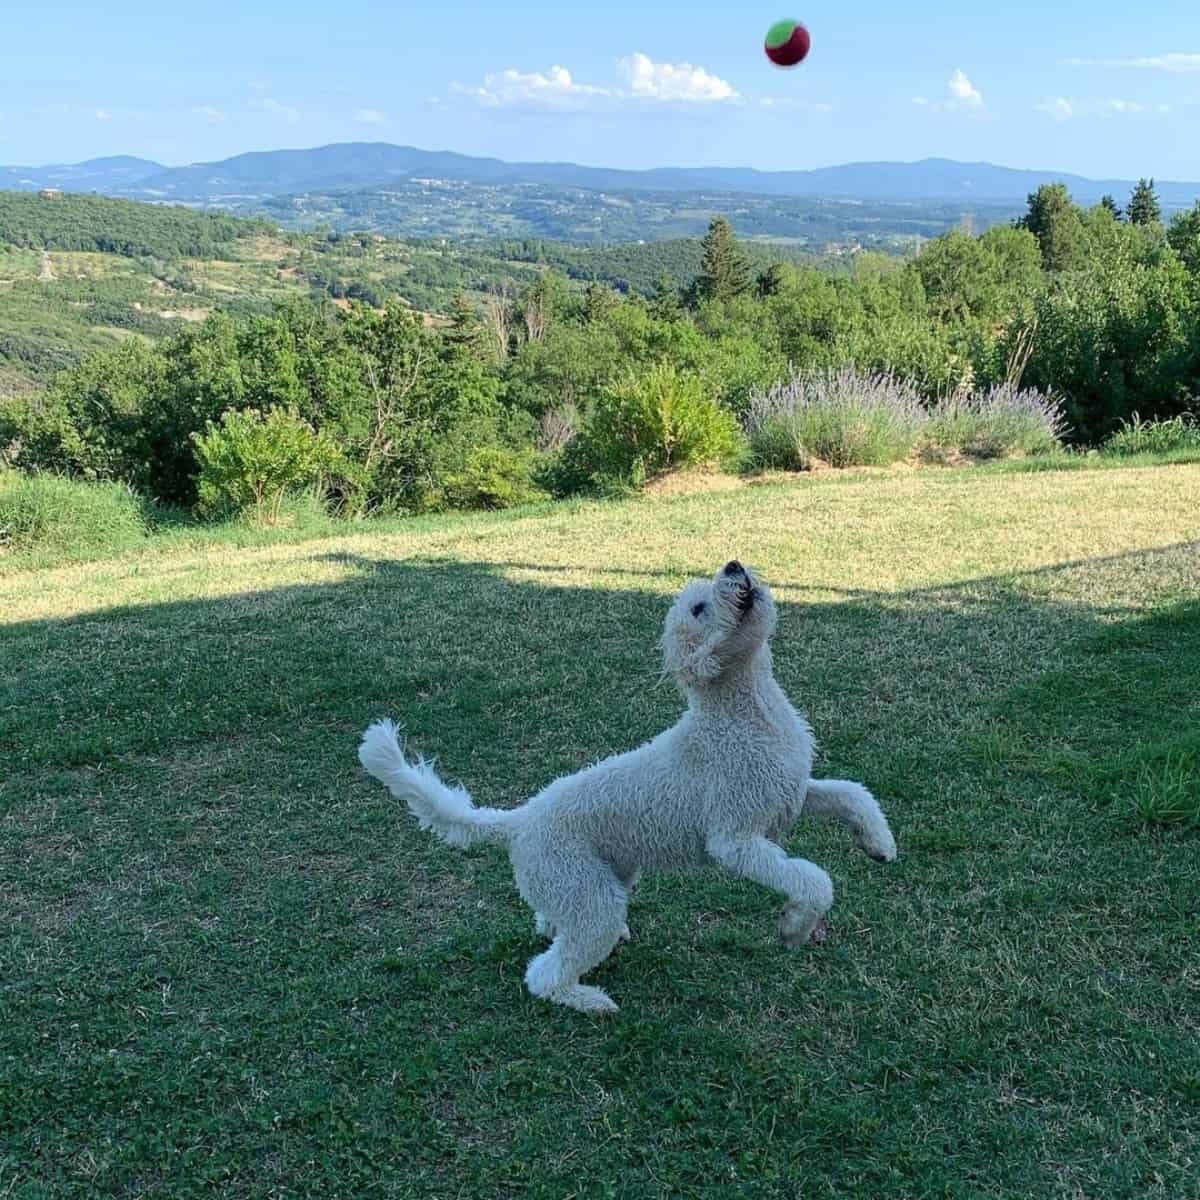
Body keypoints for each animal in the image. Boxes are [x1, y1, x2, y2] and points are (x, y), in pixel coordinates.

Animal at [360, 561, 897, 1012]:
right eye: (698, 608)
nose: (734, 565)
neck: (746, 716)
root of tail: (518, 821)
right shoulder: (735, 840)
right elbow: (813, 879)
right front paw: (794, 926)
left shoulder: (792, 792)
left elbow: (851, 792)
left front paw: (879, 843)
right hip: (587, 894)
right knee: (544, 973)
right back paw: (589, 1000)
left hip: (594, 882)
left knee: (549, 922)